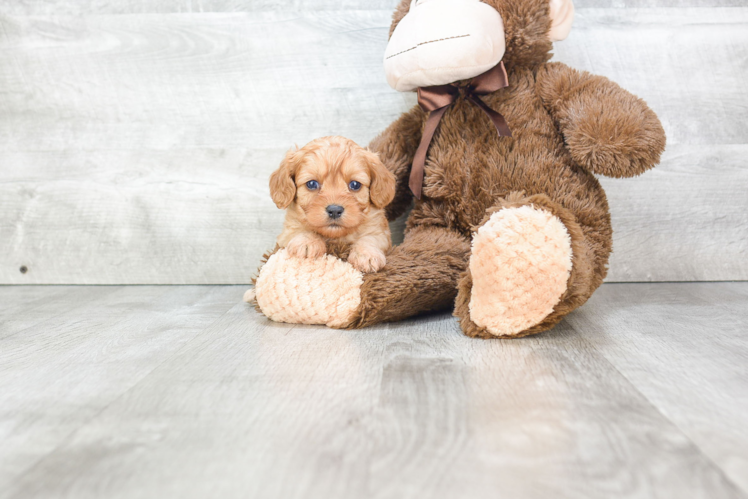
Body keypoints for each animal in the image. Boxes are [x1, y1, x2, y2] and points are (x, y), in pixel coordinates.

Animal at [268, 136, 398, 274]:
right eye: (312, 184)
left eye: (355, 184)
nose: (335, 210)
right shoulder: (286, 233)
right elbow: (299, 229)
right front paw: (307, 242)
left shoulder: (380, 232)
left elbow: (370, 237)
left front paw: (367, 255)